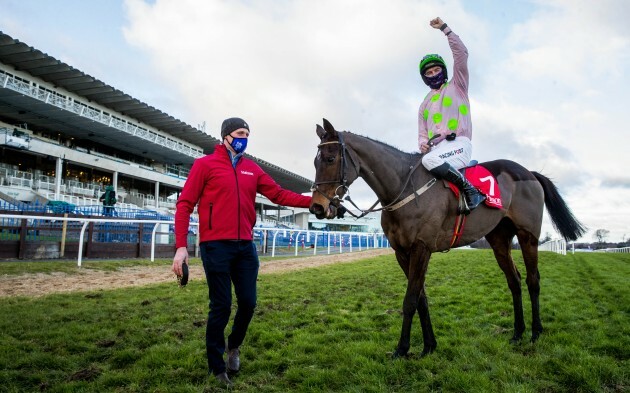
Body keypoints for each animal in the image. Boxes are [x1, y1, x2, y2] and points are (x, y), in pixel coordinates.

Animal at [312, 118, 588, 356]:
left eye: (330, 158)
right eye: (315, 162)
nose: (317, 207)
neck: (404, 186)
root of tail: (528, 172)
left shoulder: (422, 247)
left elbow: (410, 300)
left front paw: (402, 349)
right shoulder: (402, 251)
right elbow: (421, 298)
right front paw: (429, 346)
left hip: (528, 235)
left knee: (533, 280)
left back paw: (536, 332)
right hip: (499, 239)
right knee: (514, 280)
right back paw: (517, 333)